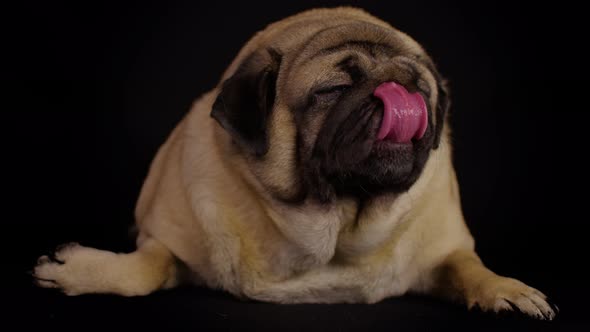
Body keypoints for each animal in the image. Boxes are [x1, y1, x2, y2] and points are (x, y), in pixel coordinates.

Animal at [33, 7, 560, 320]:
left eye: (422, 90)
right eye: (333, 90)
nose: (399, 92)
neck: (334, 230)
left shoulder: (445, 250)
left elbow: (467, 264)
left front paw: (505, 288)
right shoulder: (166, 241)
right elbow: (145, 268)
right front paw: (76, 271)